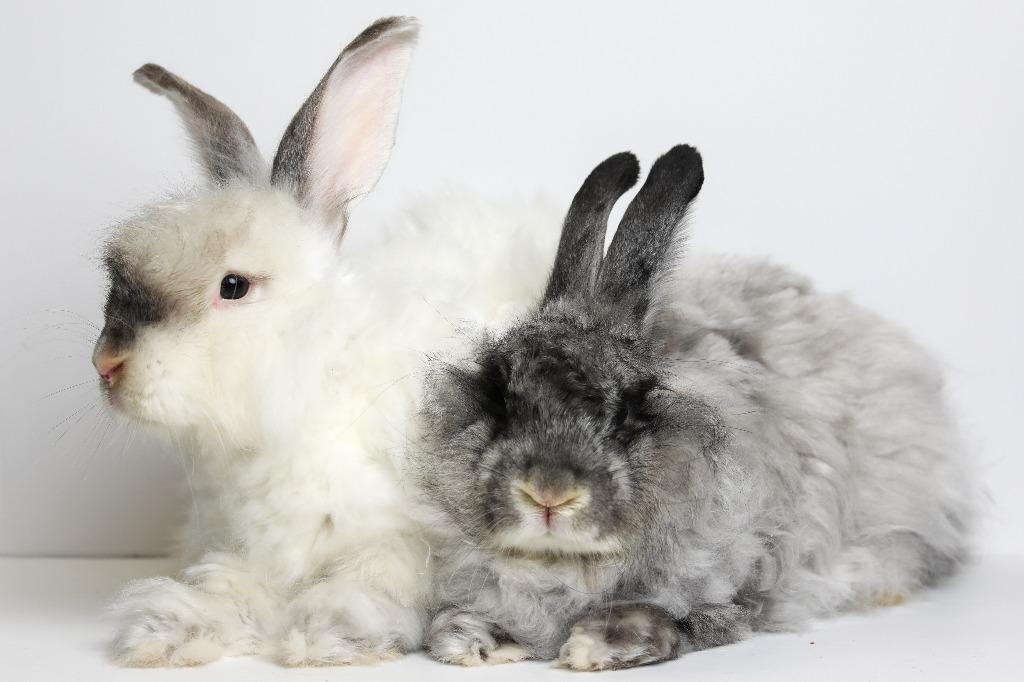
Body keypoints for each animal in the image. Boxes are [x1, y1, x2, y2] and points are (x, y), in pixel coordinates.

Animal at [92, 17, 558, 667]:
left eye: (233, 286)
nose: (107, 364)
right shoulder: (252, 548)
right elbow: (231, 587)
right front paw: (166, 629)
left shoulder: (397, 537)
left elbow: (370, 581)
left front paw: (327, 632)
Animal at [410, 145, 979, 671]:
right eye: (498, 394)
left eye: (627, 414)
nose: (549, 493)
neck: (561, 564)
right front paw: (469, 641)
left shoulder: (740, 588)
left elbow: (674, 619)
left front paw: (595, 648)